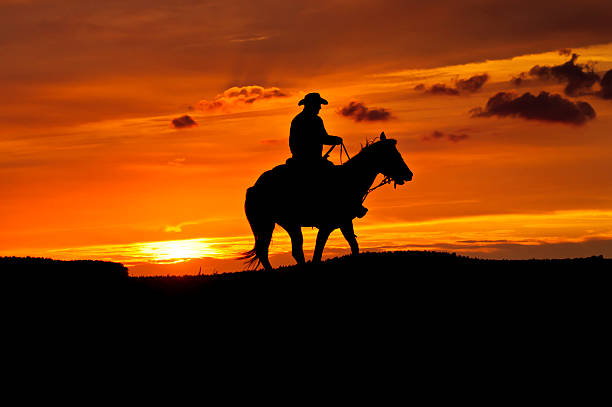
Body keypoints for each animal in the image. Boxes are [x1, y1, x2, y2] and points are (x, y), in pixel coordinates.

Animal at [241, 132, 414, 270]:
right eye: (393, 154)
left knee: (280, 250)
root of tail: (253, 188)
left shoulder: (345, 222)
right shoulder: (327, 225)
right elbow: (319, 251)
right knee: (274, 251)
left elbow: (353, 246)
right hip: (276, 224)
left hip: (280, 224)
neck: (350, 179)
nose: (409, 174)